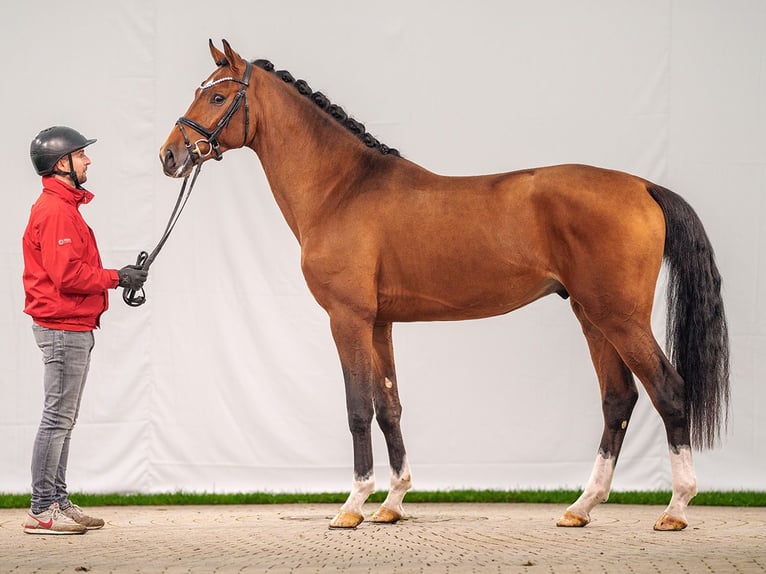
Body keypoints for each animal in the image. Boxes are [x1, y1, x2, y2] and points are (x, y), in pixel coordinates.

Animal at [158, 40, 732, 532]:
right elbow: (389, 407)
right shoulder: (381, 323)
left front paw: (352, 505)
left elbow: (357, 407)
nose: (169, 156)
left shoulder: (347, 319)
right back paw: (581, 507)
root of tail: (643, 186)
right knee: (618, 399)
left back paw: (676, 508)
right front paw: (391, 503)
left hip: (619, 317)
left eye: (217, 95)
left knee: (668, 390)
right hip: (592, 316)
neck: (343, 189)